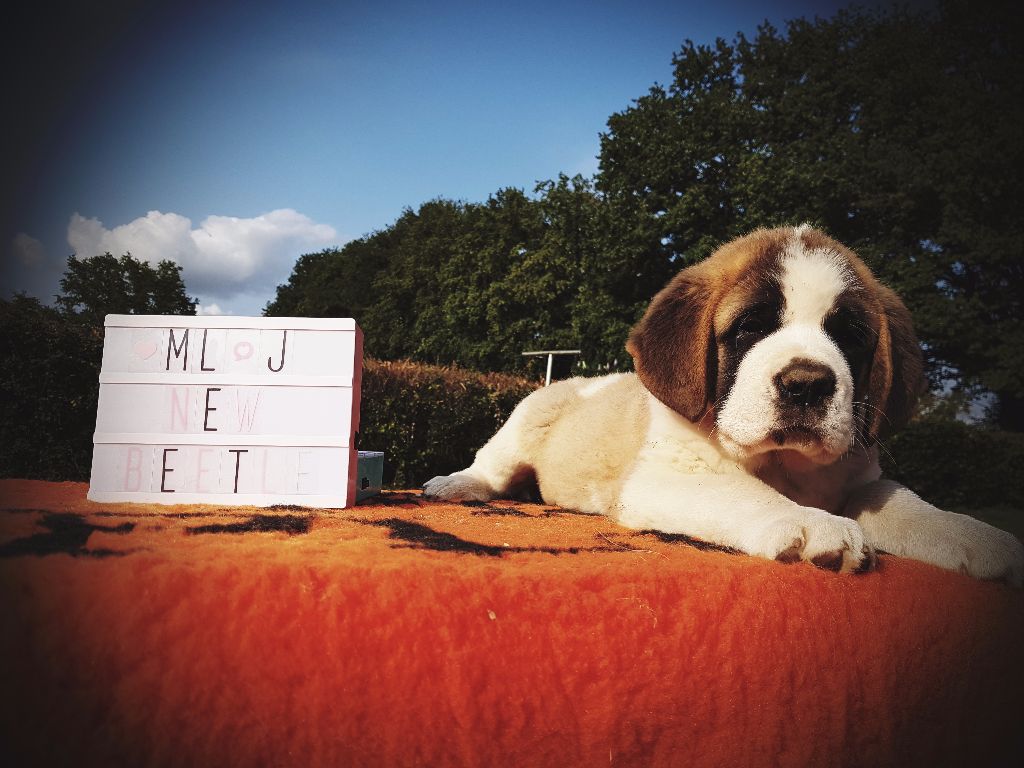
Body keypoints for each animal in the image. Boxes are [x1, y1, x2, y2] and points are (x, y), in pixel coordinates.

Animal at [423, 225, 1024, 584]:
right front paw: (811, 525)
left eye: (849, 337)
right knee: (491, 465)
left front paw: (976, 537)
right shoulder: (665, 474)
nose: (807, 384)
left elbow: (906, 503)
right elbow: (744, 493)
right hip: (524, 421)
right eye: (750, 328)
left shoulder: (861, 480)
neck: (785, 465)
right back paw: (457, 485)